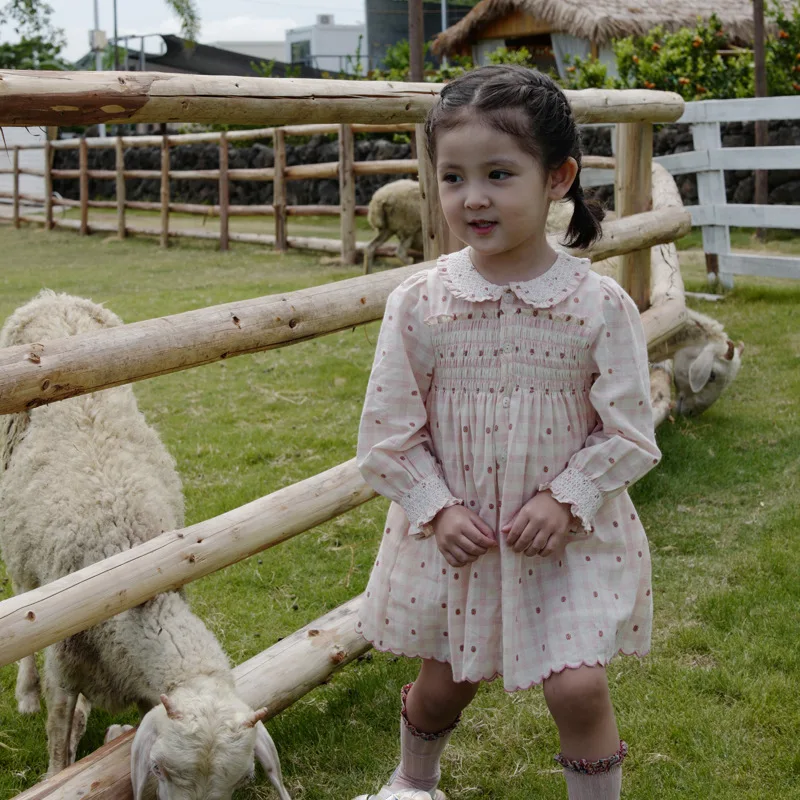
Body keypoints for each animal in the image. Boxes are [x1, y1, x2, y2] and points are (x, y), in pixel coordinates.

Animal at [0, 290, 292, 800]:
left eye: (241, 778)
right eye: (159, 768)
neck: (134, 580)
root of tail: (54, 298)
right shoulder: (65, 666)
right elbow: (56, 735)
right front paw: (57, 772)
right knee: (24, 602)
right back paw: (26, 692)